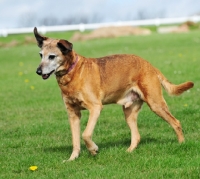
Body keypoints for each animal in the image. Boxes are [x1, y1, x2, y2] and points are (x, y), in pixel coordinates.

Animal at [34, 26, 194, 161]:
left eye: (52, 56)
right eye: (41, 55)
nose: (38, 71)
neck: (72, 73)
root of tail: (150, 66)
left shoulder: (95, 108)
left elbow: (85, 134)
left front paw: (93, 149)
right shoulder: (73, 114)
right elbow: (75, 140)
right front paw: (72, 158)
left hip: (156, 104)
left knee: (176, 122)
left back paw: (181, 143)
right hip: (129, 112)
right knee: (136, 136)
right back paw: (128, 152)